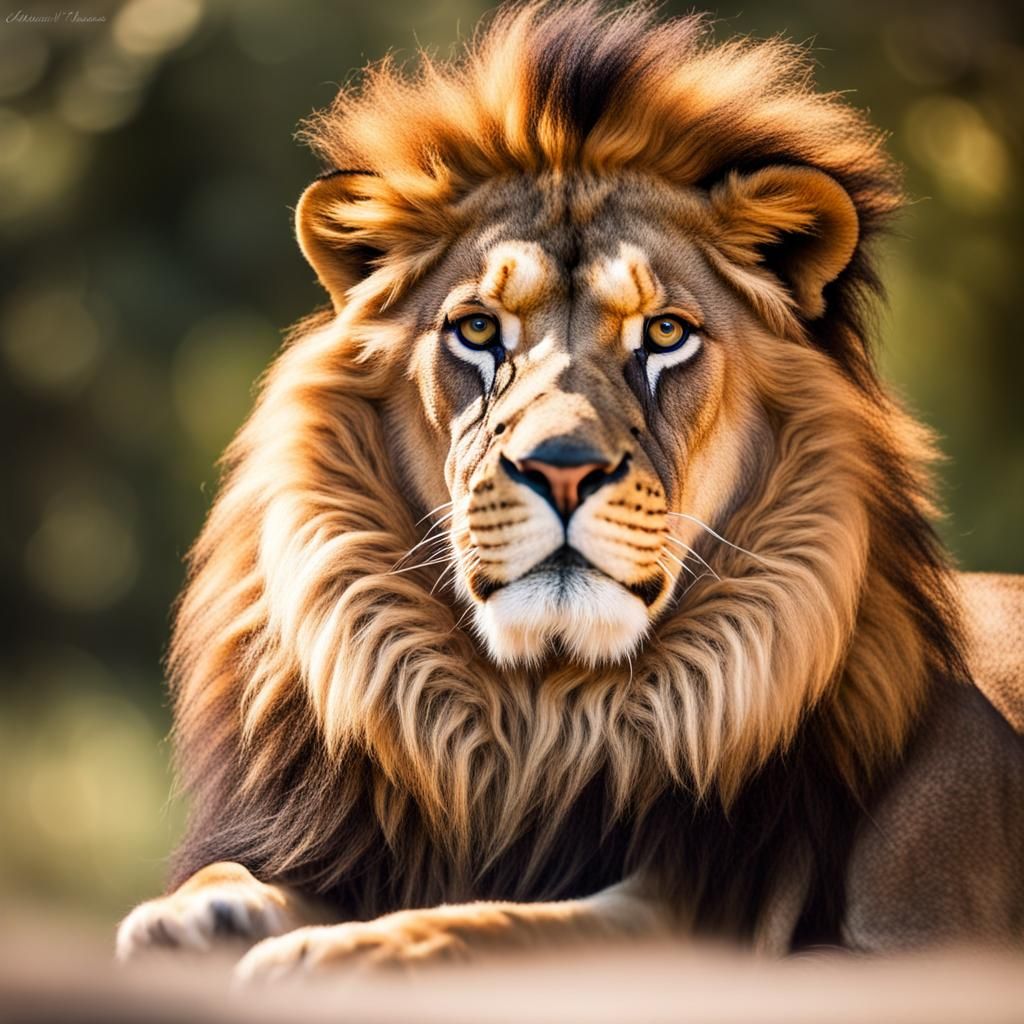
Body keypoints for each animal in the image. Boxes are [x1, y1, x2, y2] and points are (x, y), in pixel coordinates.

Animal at [117, 2, 1023, 978]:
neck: (546, 709)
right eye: (478, 330)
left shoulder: (788, 923)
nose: (560, 467)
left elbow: (519, 922)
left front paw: (346, 952)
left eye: (665, 333)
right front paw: (200, 911)